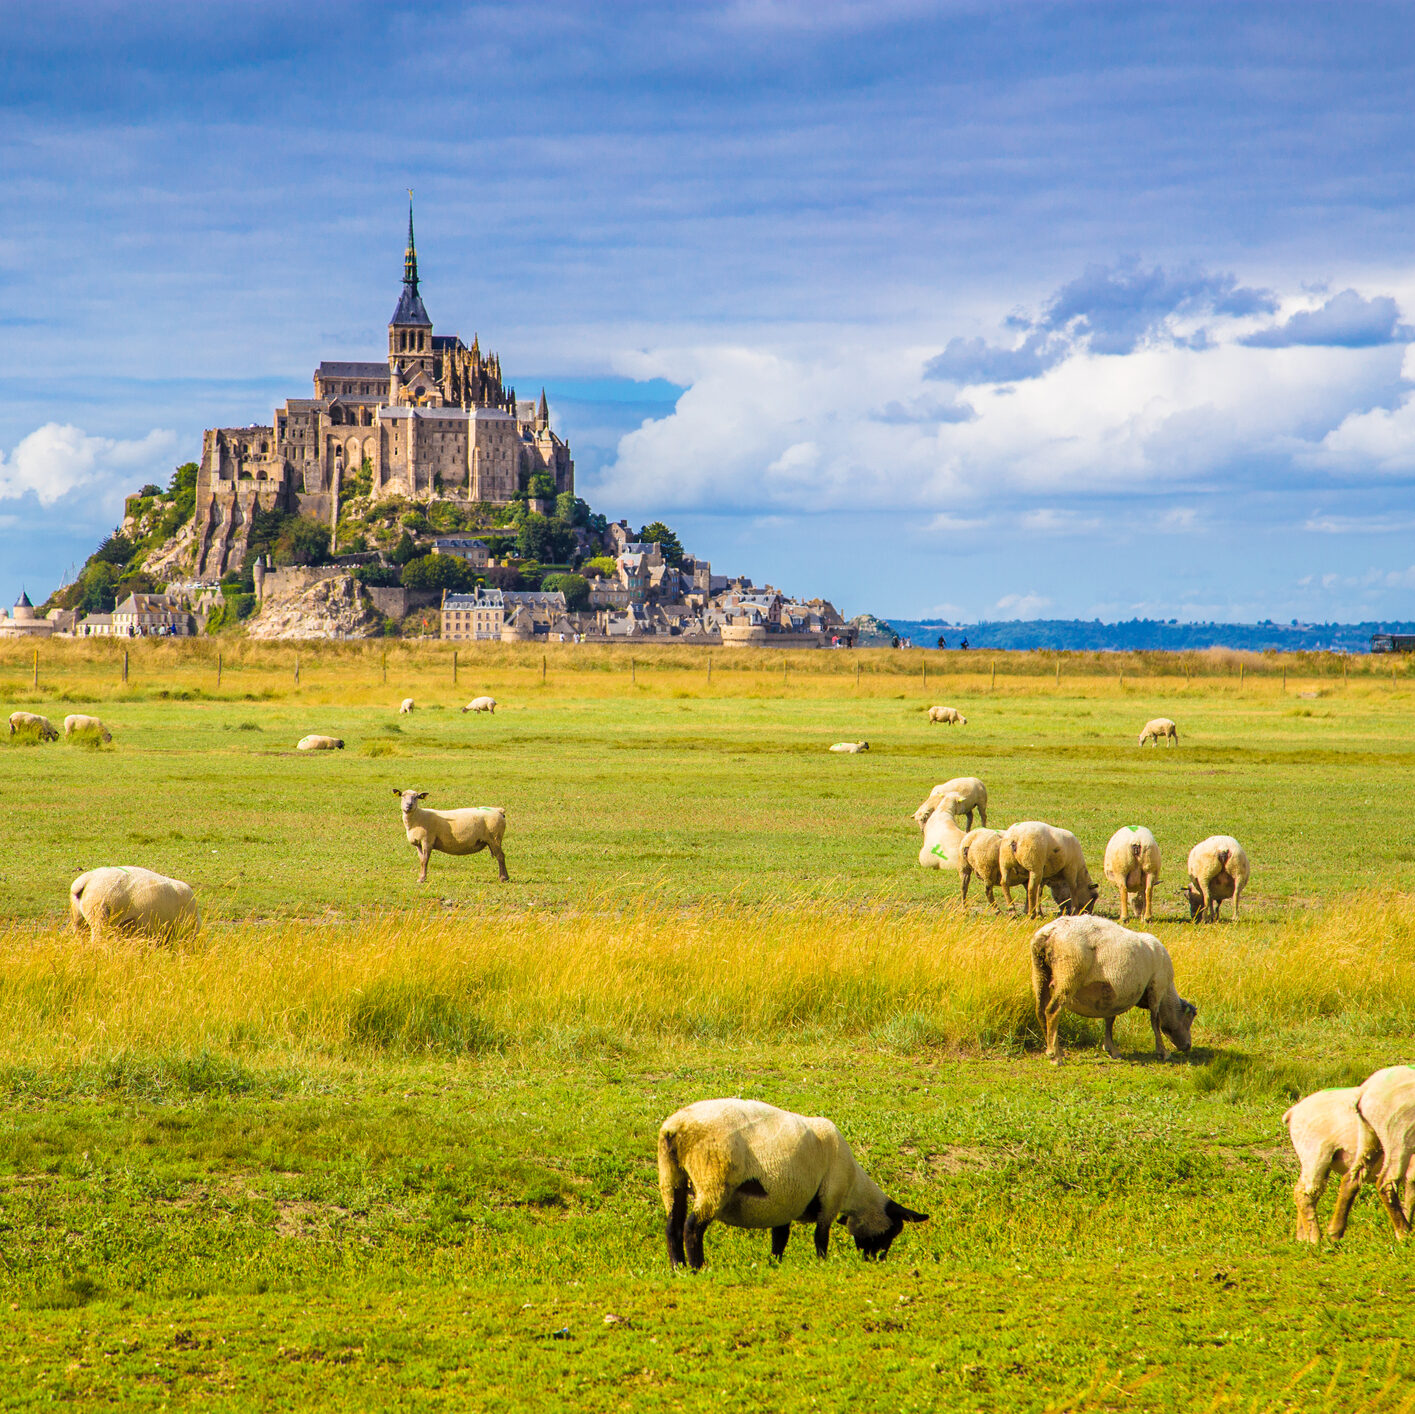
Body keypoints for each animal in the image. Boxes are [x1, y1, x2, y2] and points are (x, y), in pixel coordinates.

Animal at [653, 1092, 928, 1273]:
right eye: (892, 1232)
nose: (878, 1260)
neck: (854, 1190)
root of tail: (675, 1128)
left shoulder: (784, 1202)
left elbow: (780, 1237)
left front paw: (775, 1263)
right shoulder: (830, 1199)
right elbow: (821, 1237)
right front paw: (822, 1262)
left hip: (671, 1175)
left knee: (673, 1226)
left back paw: (678, 1267)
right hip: (714, 1178)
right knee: (692, 1227)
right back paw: (698, 1267)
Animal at [1030, 917, 1194, 1064]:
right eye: (1189, 1018)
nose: (1188, 1046)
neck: (1167, 994)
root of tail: (1048, 933)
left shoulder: (1114, 995)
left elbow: (1110, 1019)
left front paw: (1111, 1049)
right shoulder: (1156, 986)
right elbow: (1155, 1020)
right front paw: (1163, 1052)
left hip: (1040, 972)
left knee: (1040, 1010)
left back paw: (1055, 1049)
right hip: (1069, 974)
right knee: (1052, 1011)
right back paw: (1055, 1056)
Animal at [1284, 1087, 1381, 1245]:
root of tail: (1292, 1111)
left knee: (1304, 1190)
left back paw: (1303, 1237)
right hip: (1316, 1154)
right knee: (1306, 1193)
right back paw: (1314, 1239)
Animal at [1341, 1070, 1415, 1239]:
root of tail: (1364, 1093)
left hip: (1370, 1135)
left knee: (1353, 1176)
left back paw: (1334, 1232)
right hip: (1398, 1140)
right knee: (1385, 1182)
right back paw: (1403, 1233)